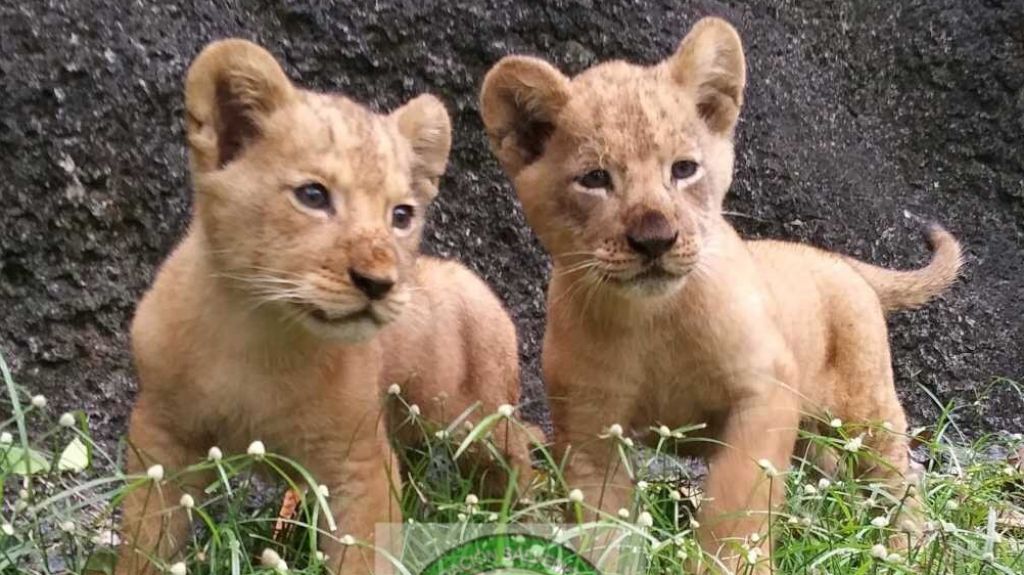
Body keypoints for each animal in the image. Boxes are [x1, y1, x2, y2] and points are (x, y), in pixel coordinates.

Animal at [480, 16, 961, 572]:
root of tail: (838, 260)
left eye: (684, 168)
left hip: (867, 410)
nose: (655, 239)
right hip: (813, 433)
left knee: (897, 477)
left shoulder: (765, 389)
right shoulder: (590, 427)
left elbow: (737, 501)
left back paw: (905, 548)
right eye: (595, 179)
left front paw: (731, 562)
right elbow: (605, 526)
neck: (652, 319)